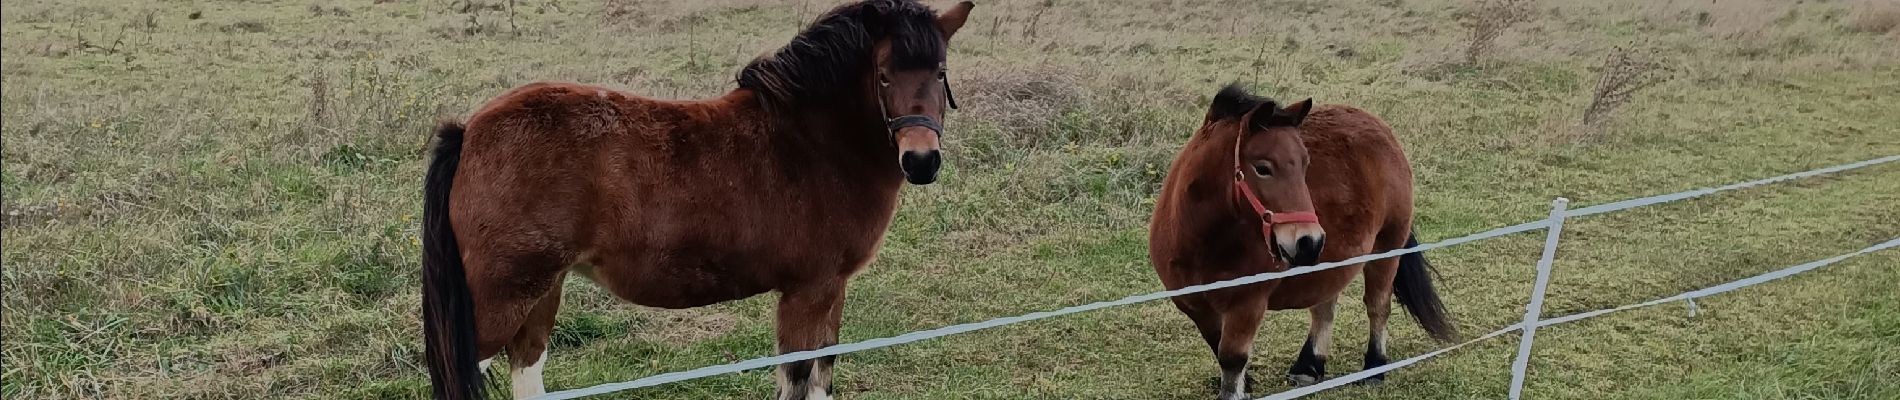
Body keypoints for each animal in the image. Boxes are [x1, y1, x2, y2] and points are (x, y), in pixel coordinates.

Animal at [421, 1, 972, 398]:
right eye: (884, 74)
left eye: (941, 72)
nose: (921, 161)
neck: (811, 141)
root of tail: (468, 132)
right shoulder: (808, 292)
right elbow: (796, 380)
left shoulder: (832, 291)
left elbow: (822, 376)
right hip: (498, 304)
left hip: (541, 293)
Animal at [1140, 85, 1451, 400]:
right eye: (1263, 168)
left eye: (1305, 164)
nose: (1309, 241)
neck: (1202, 242)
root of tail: (1381, 129)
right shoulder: (1195, 307)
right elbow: (1219, 350)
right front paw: (1245, 386)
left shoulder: (1247, 304)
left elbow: (1232, 357)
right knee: (1325, 307)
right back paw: (1310, 365)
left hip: (1386, 248)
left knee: (1378, 306)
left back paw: (1374, 368)